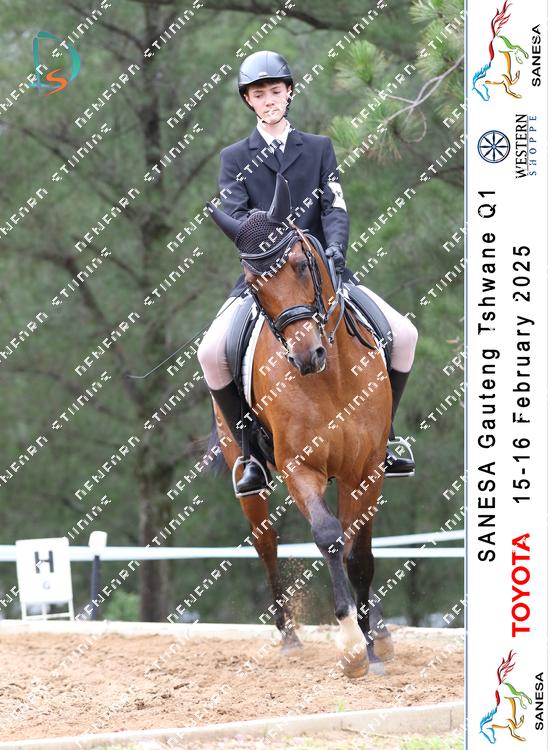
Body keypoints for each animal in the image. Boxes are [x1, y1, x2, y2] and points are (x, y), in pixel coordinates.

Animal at [205, 174, 394, 678]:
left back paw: (379, 629)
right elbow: (328, 536)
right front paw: (351, 644)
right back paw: (289, 638)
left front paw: (371, 642)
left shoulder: (366, 468)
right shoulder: (298, 467)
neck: (331, 379)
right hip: (250, 477)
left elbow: (358, 552)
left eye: (299, 265)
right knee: (266, 544)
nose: (307, 355)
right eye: (254, 284)